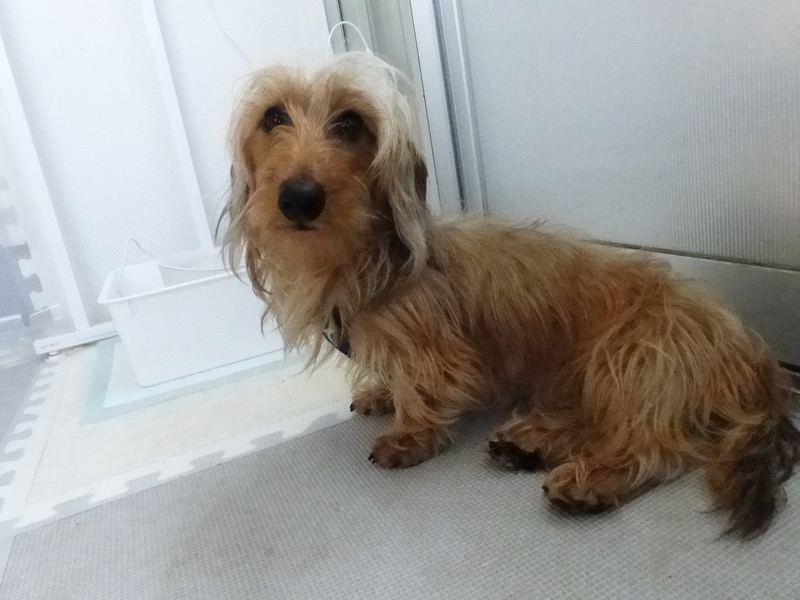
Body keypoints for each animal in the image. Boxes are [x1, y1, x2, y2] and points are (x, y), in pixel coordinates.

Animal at [220, 52, 800, 538]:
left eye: (349, 123)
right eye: (273, 117)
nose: (299, 198)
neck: (363, 258)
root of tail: (755, 359)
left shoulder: (438, 354)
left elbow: (424, 387)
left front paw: (409, 433)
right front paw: (381, 393)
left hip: (631, 357)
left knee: (652, 445)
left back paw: (591, 481)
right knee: (598, 423)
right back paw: (528, 443)